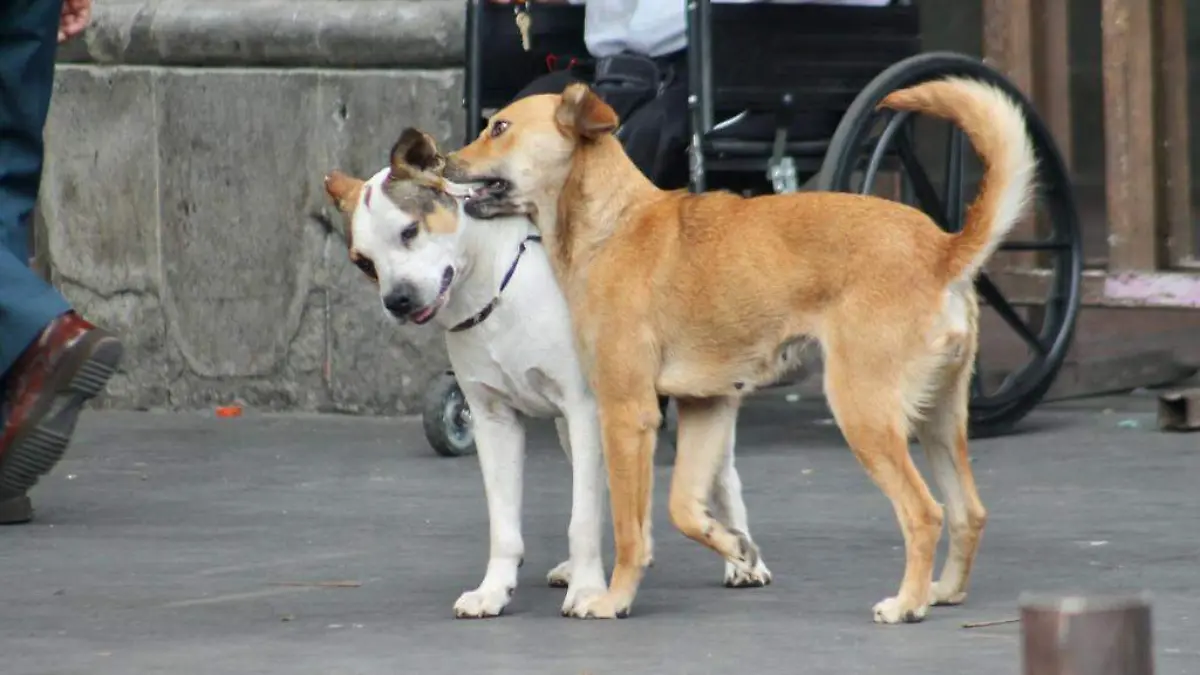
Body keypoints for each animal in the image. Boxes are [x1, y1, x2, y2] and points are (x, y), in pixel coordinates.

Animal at [319, 128, 768, 619]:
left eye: (409, 231)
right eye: (363, 262)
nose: (397, 300)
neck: (496, 289)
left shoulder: (586, 409)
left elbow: (583, 518)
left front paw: (589, 589)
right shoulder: (493, 421)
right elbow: (507, 526)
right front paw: (494, 590)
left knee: (720, 477)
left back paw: (742, 560)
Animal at [446, 77, 1036, 619]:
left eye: (499, 127)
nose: (446, 161)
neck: (614, 226)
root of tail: (942, 249)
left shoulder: (626, 414)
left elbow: (630, 529)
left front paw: (613, 598)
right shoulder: (706, 406)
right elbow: (684, 507)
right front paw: (736, 548)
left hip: (865, 413)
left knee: (924, 513)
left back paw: (907, 603)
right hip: (939, 419)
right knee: (968, 512)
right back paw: (944, 591)